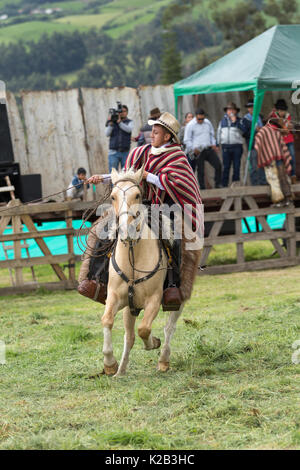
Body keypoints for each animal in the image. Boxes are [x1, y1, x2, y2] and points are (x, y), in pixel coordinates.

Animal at [101, 167, 184, 376]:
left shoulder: (154, 299)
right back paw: (121, 371)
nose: (125, 229)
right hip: (130, 308)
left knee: (169, 327)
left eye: (137, 195)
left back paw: (163, 360)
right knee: (129, 337)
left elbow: (144, 329)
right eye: (113, 197)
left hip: (179, 299)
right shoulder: (115, 296)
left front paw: (153, 343)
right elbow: (107, 320)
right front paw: (110, 363)